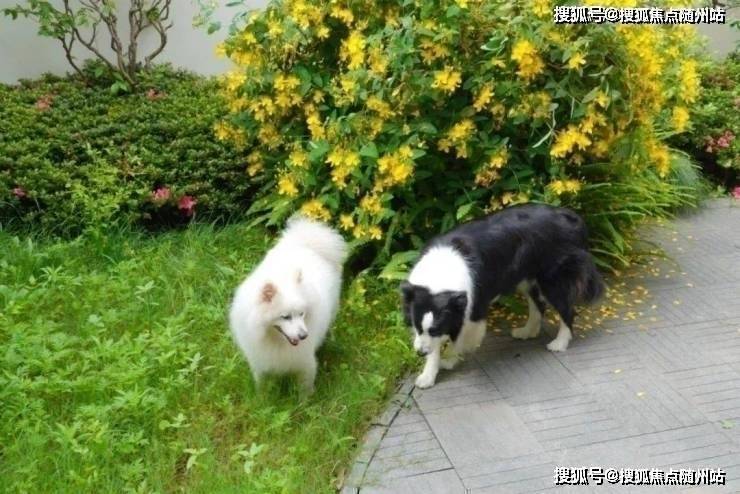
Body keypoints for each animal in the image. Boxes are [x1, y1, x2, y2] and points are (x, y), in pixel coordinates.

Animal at [229, 215, 347, 394]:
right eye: (285, 317)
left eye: (302, 314)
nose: (304, 336)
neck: (276, 342)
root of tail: (304, 243)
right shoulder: (260, 361)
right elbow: (261, 387)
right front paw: (261, 398)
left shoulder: (305, 363)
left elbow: (304, 391)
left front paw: (305, 401)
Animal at [401, 204, 604, 389]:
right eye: (415, 327)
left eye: (435, 329)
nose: (419, 353)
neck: (440, 275)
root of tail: (568, 216)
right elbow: (436, 344)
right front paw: (428, 375)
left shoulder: (472, 310)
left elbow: (457, 340)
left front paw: (449, 359)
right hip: (527, 277)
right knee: (538, 304)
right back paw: (528, 331)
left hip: (552, 280)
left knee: (567, 309)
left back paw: (560, 342)